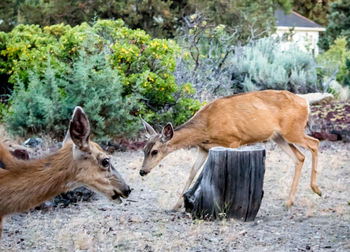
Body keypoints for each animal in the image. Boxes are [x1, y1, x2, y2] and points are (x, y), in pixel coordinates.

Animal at [139, 90, 322, 211]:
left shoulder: (233, 140)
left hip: (293, 131)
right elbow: (192, 172)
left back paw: (316, 189)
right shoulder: (203, 149)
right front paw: (175, 205)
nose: (142, 171)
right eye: (144, 150)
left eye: (155, 151)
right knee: (299, 157)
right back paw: (289, 202)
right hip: (278, 137)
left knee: (315, 143)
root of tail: (305, 102)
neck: (205, 128)